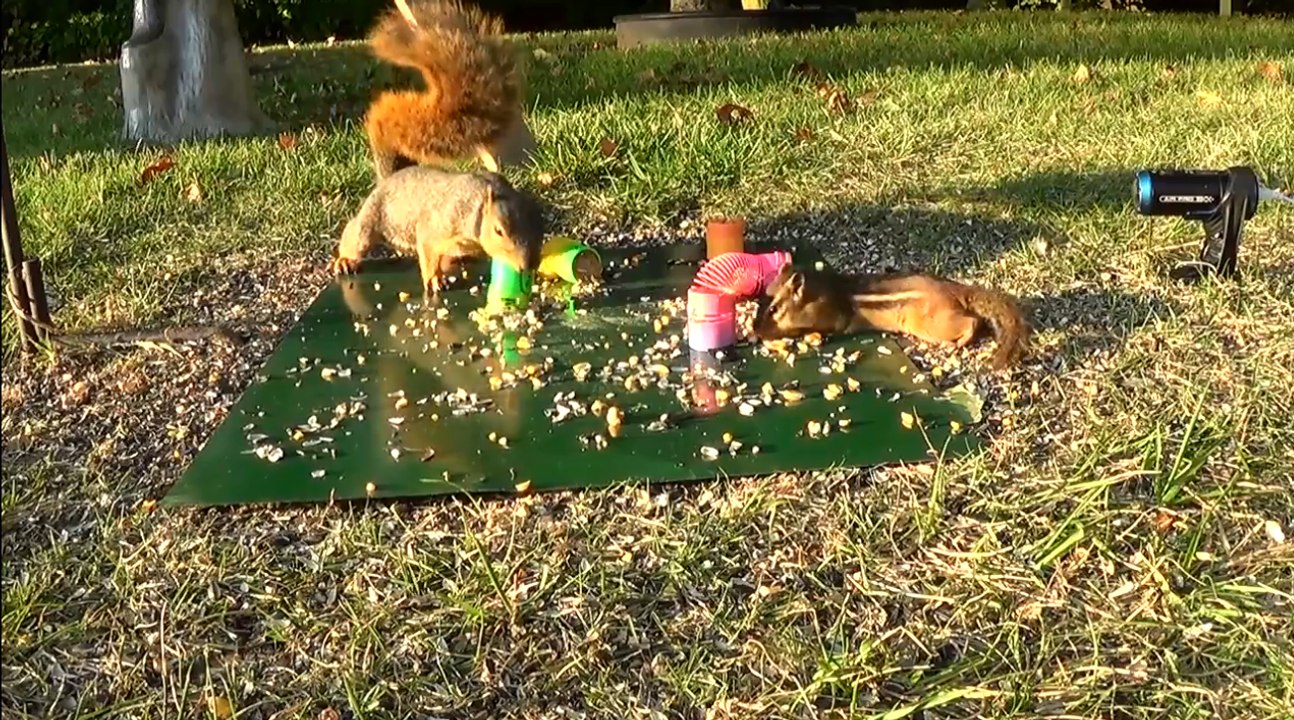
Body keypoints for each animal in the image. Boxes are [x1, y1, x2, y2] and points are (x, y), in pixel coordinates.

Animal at [331, 166, 544, 297]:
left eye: (539, 224)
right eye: (498, 230)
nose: (528, 265)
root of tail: (388, 179)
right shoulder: (436, 225)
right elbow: (428, 252)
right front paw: (435, 280)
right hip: (371, 222)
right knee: (354, 234)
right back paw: (345, 261)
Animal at [754, 266, 1029, 370]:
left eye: (773, 310)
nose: (756, 330)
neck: (820, 293)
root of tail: (958, 290)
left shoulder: (833, 317)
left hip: (933, 325)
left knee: (973, 321)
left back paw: (958, 342)